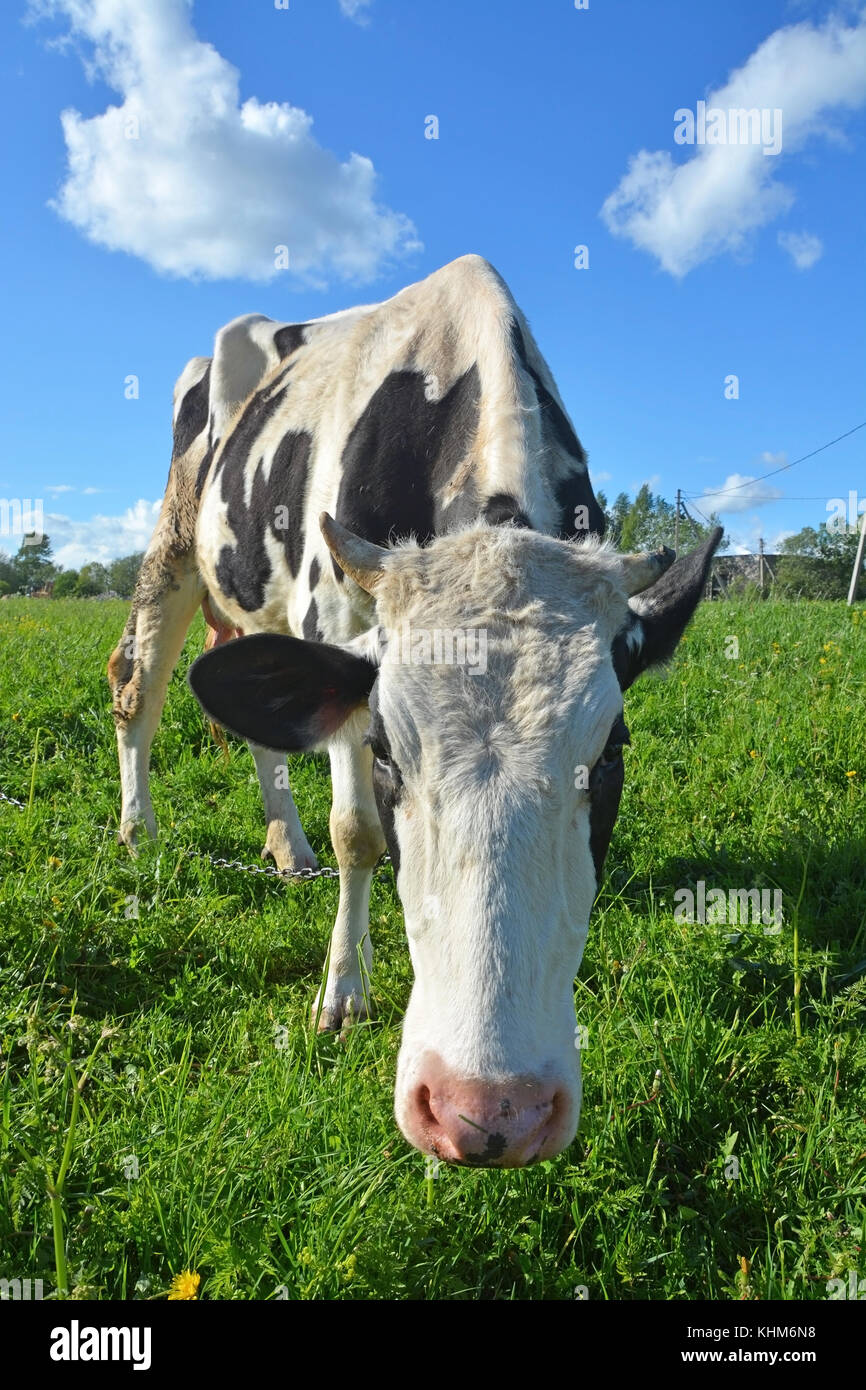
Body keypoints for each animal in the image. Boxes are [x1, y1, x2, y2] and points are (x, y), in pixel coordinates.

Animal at [108, 254, 721, 1168]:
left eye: (610, 754)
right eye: (389, 752)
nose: (491, 1111)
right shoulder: (335, 630)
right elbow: (358, 831)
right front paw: (344, 991)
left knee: (261, 734)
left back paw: (285, 846)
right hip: (178, 539)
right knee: (138, 686)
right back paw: (140, 828)